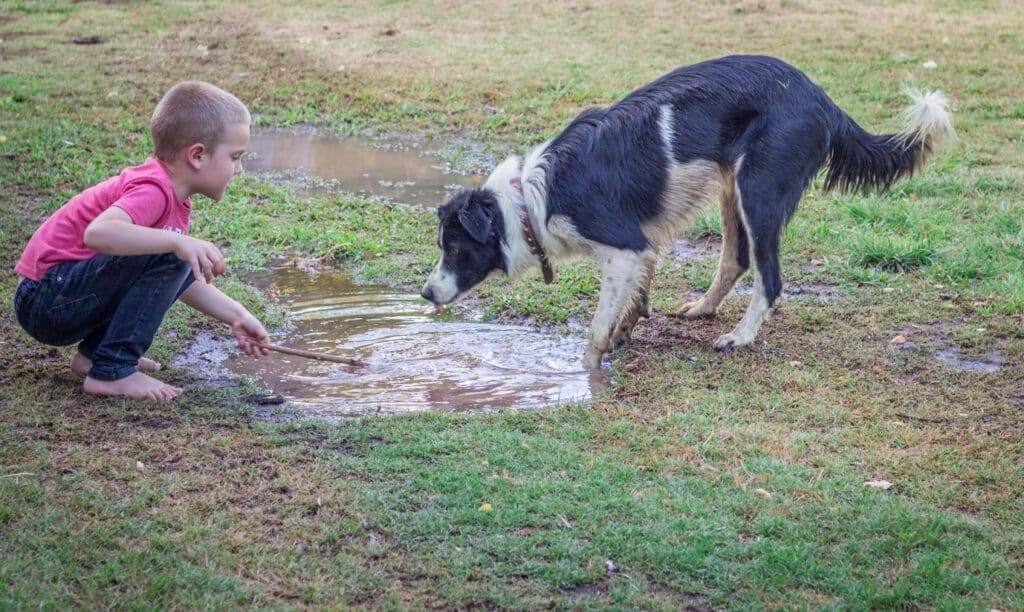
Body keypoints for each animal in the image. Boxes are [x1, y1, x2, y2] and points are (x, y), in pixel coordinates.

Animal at [419, 56, 946, 368]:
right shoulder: (643, 246)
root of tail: (821, 98)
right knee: (735, 259)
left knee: (770, 278)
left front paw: (589, 372)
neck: (529, 201)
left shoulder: (625, 246)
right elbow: (632, 301)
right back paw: (704, 308)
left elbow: (595, 329)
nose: (424, 293)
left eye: (454, 248)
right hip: (731, 188)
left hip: (759, 191)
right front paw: (627, 330)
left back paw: (740, 337)